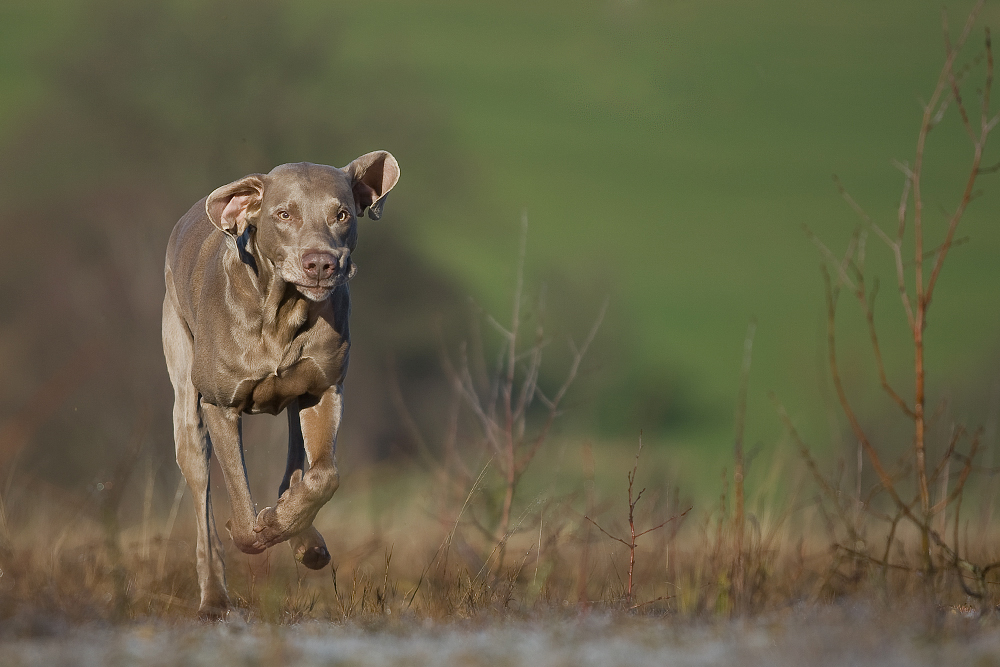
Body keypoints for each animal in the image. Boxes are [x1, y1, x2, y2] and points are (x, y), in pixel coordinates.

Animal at [163, 154, 398, 620]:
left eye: (342, 214)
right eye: (284, 214)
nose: (320, 263)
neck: (282, 312)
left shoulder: (324, 390)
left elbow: (323, 476)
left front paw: (283, 523)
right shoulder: (219, 406)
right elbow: (239, 500)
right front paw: (254, 530)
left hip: (295, 400)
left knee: (294, 464)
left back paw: (303, 537)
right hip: (186, 399)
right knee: (200, 487)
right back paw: (214, 598)